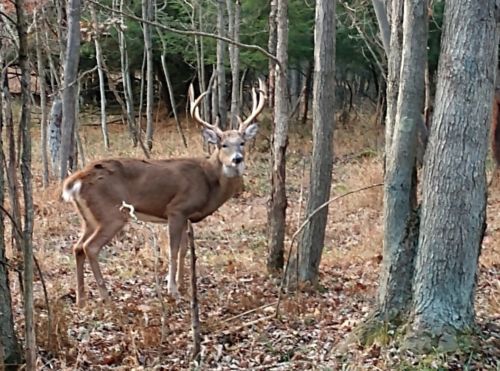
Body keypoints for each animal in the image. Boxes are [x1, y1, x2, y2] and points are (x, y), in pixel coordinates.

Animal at [62, 78, 268, 308]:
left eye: (242, 143)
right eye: (223, 144)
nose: (237, 159)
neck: (209, 181)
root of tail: (77, 179)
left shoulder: (187, 216)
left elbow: (184, 250)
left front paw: (183, 285)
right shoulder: (176, 209)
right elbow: (173, 249)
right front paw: (173, 289)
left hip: (89, 217)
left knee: (77, 247)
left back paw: (80, 299)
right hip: (111, 213)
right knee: (90, 247)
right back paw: (105, 296)